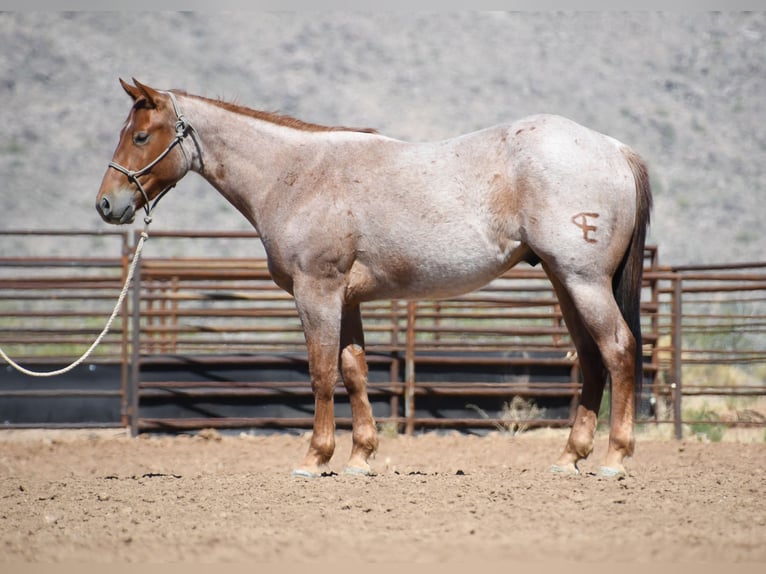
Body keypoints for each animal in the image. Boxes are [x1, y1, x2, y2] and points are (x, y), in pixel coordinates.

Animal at [96, 79, 652, 478]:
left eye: (141, 136)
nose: (106, 204)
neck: (297, 175)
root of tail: (613, 148)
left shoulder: (316, 291)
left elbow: (321, 371)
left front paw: (315, 458)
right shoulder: (347, 299)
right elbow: (354, 369)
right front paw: (360, 457)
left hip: (582, 281)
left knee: (618, 349)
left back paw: (613, 459)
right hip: (565, 282)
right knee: (592, 360)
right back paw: (569, 457)